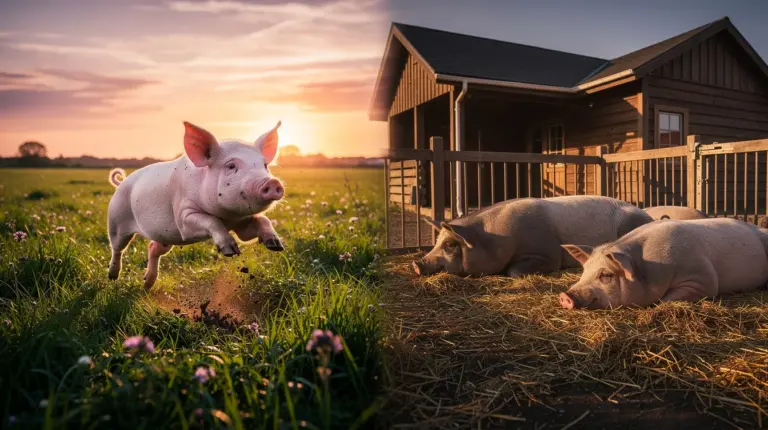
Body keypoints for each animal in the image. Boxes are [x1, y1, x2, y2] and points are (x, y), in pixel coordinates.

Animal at [107, 121, 285, 289]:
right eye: (231, 166)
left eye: (265, 165)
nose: (273, 182)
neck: (228, 218)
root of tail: (122, 183)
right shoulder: (184, 218)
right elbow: (211, 220)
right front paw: (230, 251)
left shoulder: (242, 223)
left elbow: (261, 221)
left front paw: (276, 245)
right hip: (116, 220)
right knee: (117, 248)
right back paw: (112, 277)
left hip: (165, 236)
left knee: (153, 247)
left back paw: (147, 284)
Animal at [412, 195, 654, 278]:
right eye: (436, 242)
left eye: (450, 244)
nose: (416, 263)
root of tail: (648, 216)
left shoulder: (547, 253)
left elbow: (514, 271)